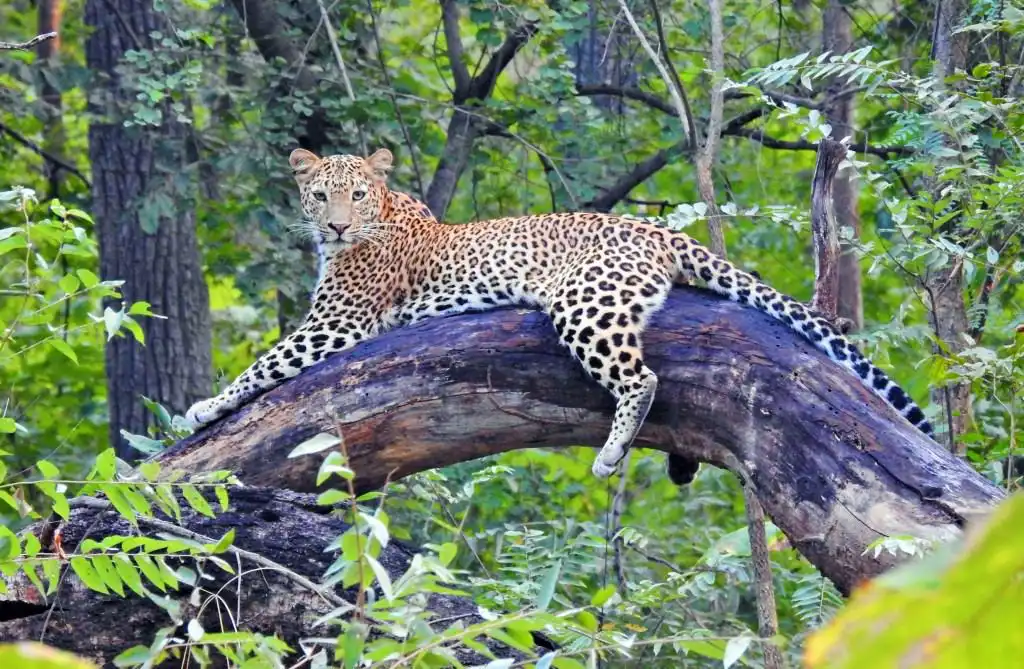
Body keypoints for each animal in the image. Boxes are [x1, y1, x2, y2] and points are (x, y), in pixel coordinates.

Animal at [186, 147, 934, 479]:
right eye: (319, 195)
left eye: (358, 195)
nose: (337, 226)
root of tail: (658, 230)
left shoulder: (339, 322)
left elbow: (267, 362)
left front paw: (202, 407)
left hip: (585, 304)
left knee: (643, 379)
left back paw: (610, 453)